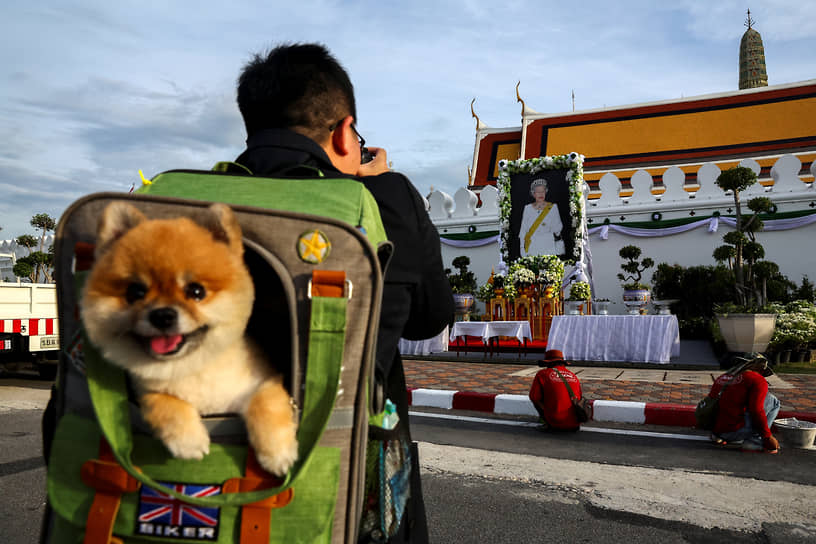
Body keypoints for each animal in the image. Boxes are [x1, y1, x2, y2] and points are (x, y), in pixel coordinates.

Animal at [81, 201, 298, 476]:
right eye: (135, 292)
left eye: (196, 291)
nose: (162, 315)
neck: (190, 366)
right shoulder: (144, 392)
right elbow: (163, 401)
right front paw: (188, 441)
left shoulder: (263, 382)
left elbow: (266, 404)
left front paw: (278, 453)